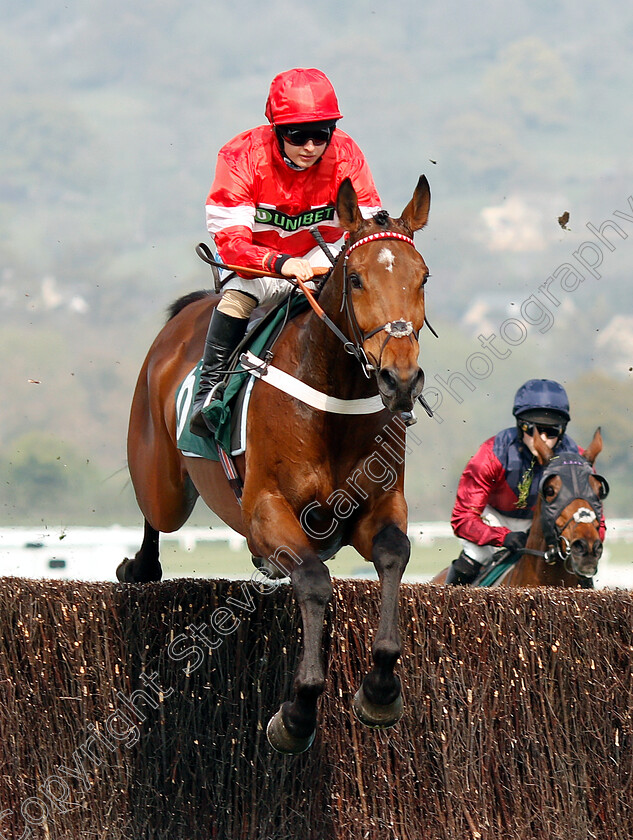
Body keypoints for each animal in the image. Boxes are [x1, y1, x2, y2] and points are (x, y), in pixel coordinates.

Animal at [116, 177, 432, 756]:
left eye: (422, 277)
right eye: (355, 279)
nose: (400, 380)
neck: (333, 401)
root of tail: (187, 314)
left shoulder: (378, 505)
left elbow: (394, 554)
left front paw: (380, 690)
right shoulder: (266, 510)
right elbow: (312, 579)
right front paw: (297, 712)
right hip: (161, 481)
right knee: (155, 515)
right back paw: (141, 568)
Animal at [430, 430, 608, 588]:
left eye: (599, 490)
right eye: (550, 490)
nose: (586, 547)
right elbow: (465, 515)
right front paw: (513, 539)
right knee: (467, 563)